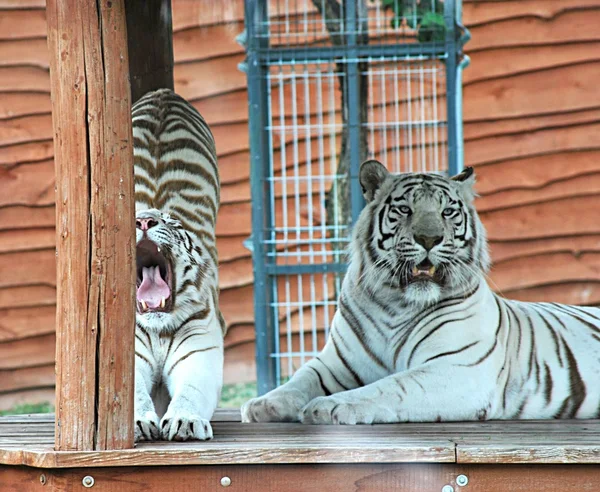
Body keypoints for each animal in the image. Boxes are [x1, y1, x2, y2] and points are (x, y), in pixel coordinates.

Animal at [132, 88, 226, 442]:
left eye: (169, 222)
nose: (144, 221)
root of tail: (162, 93)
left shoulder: (200, 352)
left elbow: (190, 392)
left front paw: (185, 421)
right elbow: (133, 394)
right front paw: (139, 422)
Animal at [241, 160, 600, 424]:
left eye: (447, 212)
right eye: (405, 210)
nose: (429, 239)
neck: (395, 302)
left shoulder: (457, 368)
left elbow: (390, 386)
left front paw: (328, 407)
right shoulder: (336, 363)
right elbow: (300, 379)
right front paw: (261, 404)